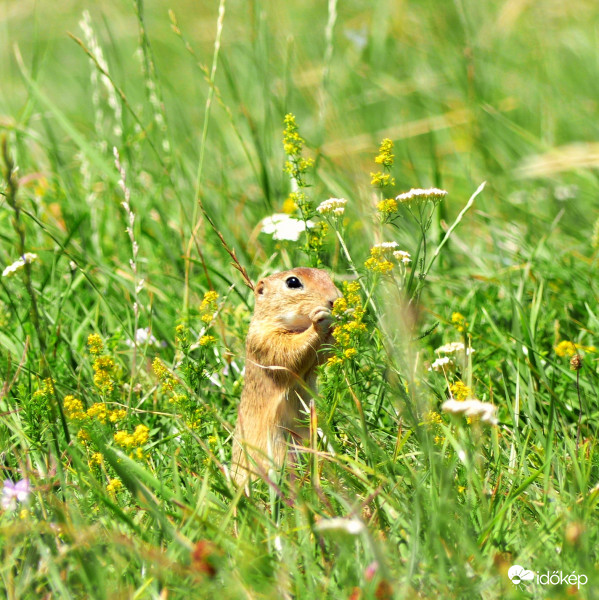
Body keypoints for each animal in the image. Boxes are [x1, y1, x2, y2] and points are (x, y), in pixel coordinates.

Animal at [231, 268, 342, 482]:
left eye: (326, 274)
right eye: (292, 282)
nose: (335, 299)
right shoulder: (265, 338)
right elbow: (288, 351)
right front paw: (320, 320)